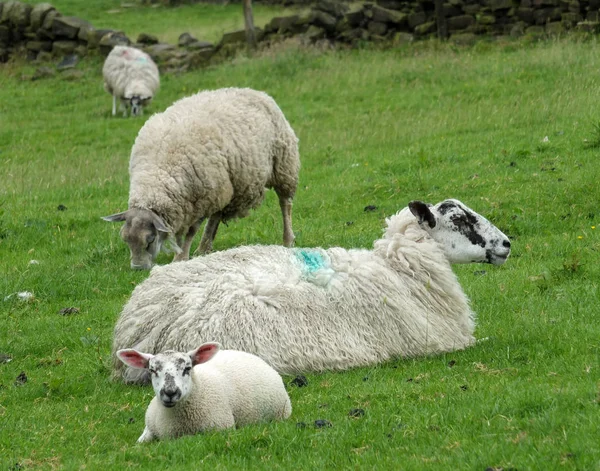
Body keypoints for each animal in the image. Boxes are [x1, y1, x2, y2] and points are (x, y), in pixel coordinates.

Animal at [103, 87, 302, 270]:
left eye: (150, 240)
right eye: (125, 239)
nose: (137, 268)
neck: (158, 174)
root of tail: (254, 91)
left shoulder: (199, 199)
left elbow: (190, 231)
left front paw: (180, 257)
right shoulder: (188, 201)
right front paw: (182, 253)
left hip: (283, 165)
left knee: (285, 203)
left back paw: (288, 239)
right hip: (224, 184)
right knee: (216, 215)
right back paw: (204, 248)